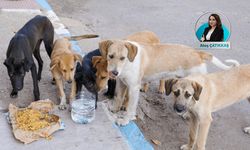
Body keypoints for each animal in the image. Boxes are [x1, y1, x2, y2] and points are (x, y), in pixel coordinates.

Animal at [99, 39, 238, 125]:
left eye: (122, 58)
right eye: (110, 56)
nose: (114, 73)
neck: (128, 63)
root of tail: (197, 53)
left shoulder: (133, 88)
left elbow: (130, 108)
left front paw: (125, 120)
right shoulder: (121, 82)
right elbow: (118, 97)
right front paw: (114, 109)